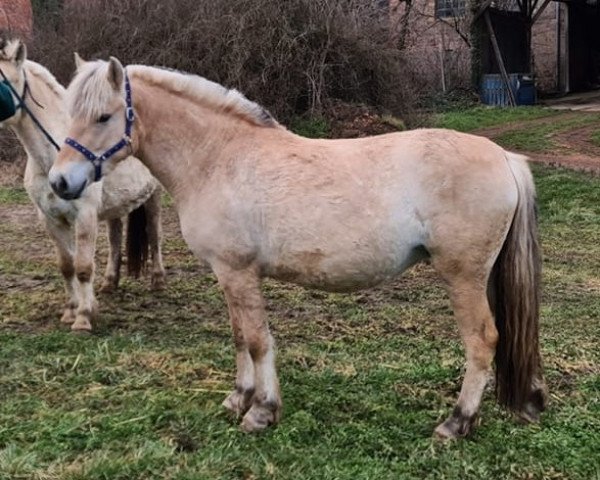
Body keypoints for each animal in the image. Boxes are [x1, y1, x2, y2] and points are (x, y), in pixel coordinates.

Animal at [49, 56, 548, 438]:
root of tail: (505, 158)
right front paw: (239, 398)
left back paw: (456, 423)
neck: (218, 158)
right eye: (71, 113)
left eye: (103, 116)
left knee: (482, 342)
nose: (60, 182)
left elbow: (257, 340)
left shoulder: (239, 272)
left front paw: (262, 411)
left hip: (464, 277)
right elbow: (239, 336)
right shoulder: (226, 275)